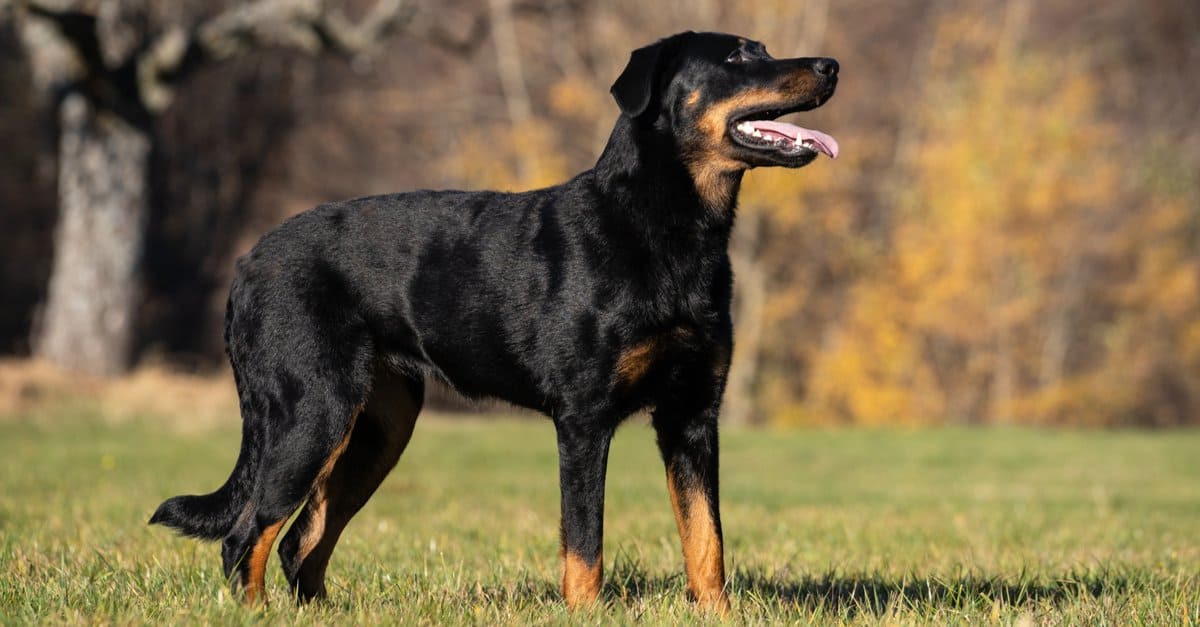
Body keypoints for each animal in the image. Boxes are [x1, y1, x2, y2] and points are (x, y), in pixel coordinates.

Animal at [150, 29, 840, 610]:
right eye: (738, 56)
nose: (830, 65)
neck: (666, 230)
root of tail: (245, 265)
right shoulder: (584, 420)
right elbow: (584, 544)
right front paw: (586, 615)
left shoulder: (692, 417)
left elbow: (707, 542)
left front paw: (717, 614)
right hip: (311, 411)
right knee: (247, 536)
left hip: (378, 428)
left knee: (301, 540)